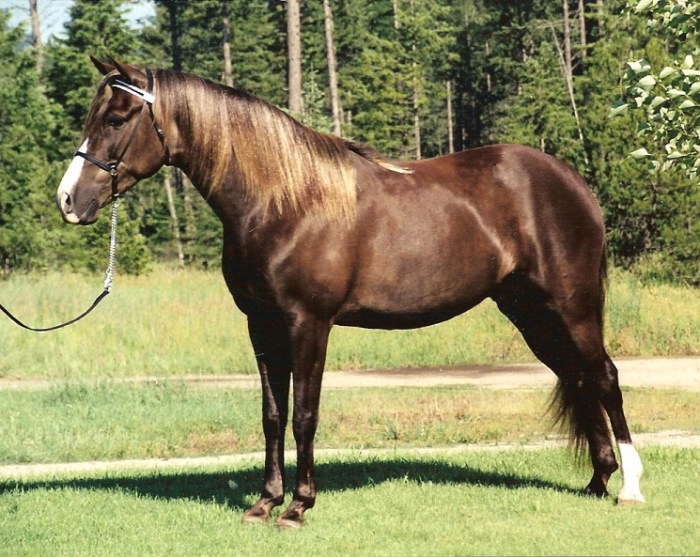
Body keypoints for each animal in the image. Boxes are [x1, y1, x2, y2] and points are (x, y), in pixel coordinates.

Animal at [54, 58, 644, 528]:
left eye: (116, 118)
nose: (68, 200)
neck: (285, 202)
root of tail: (572, 181)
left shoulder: (309, 323)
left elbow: (305, 414)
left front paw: (298, 507)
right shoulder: (261, 325)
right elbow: (272, 416)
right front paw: (264, 503)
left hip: (572, 307)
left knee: (605, 378)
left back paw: (630, 489)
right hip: (532, 314)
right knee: (578, 377)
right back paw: (597, 482)